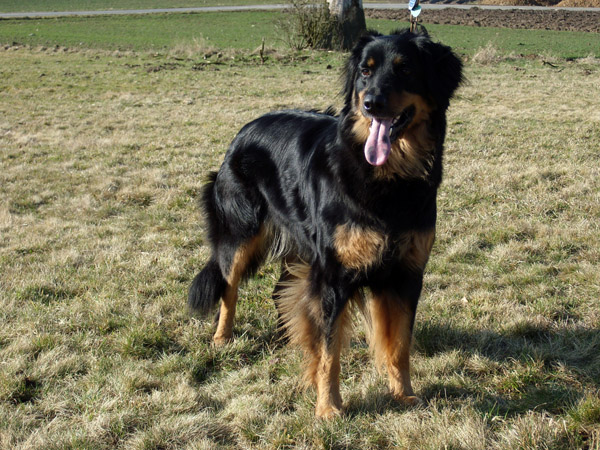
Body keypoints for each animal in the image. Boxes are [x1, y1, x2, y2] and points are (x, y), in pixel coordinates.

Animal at [188, 29, 463, 417]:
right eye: (365, 71)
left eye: (405, 69)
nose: (371, 103)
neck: (389, 177)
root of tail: (243, 132)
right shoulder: (334, 274)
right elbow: (330, 350)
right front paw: (328, 408)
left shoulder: (406, 273)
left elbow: (399, 344)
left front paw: (404, 394)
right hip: (241, 235)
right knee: (229, 285)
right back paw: (222, 338)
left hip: (301, 249)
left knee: (280, 292)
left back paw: (290, 339)